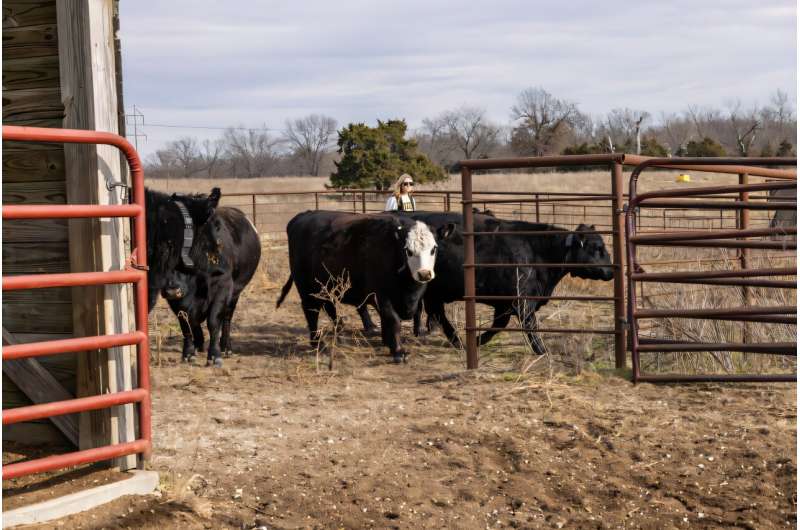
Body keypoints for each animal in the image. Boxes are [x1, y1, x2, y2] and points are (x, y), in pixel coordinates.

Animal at [160, 207, 261, 367]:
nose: (172, 289)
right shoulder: (176, 301)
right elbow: (186, 325)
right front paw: (188, 353)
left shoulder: (222, 287)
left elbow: (213, 322)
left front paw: (214, 355)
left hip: (235, 293)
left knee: (227, 317)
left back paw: (226, 348)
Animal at [276, 211, 454, 363]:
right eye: (408, 250)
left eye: (434, 248)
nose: (424, 274)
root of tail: (302, 216)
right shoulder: (382, 294)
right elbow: (393, 320)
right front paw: (398, 351)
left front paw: (388, 343)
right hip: (307, 288)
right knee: (311, 311)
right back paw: (318, 344)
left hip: (326, 287)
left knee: (329, 307)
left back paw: (339, 333)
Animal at [359, 212, 614, 353]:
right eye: (596, 247)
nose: (611, 271)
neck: (536, 250)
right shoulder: (522, 302)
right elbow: (530, 327)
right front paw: (542, 351)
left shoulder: (505, 305)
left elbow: (497, 327)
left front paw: (478, 340)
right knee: (437, 313)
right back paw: (455, 340)